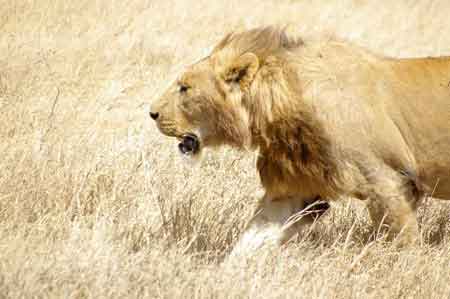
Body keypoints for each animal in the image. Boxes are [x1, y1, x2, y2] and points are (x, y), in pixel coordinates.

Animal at [150, 25, 450, 255]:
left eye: (185, 88)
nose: (151, 113)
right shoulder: (296, 187)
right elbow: (251, 239)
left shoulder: (388, 180)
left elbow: (403, 243)